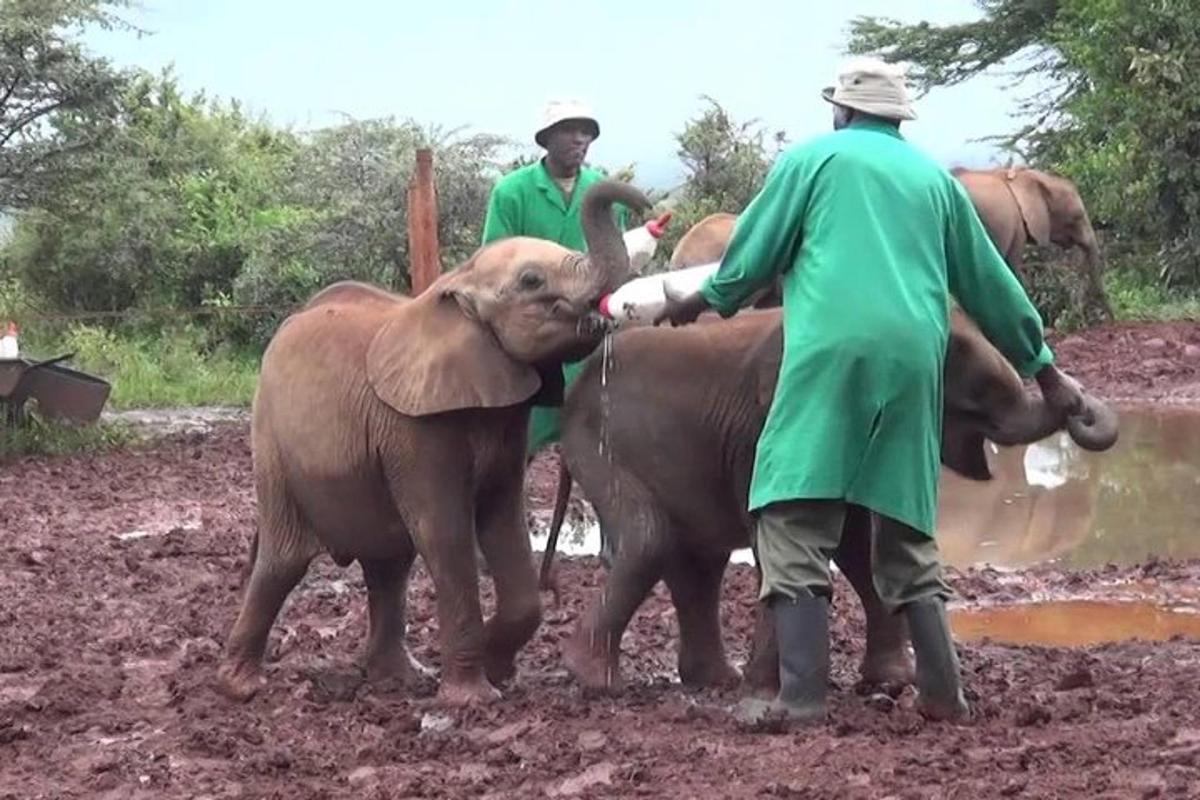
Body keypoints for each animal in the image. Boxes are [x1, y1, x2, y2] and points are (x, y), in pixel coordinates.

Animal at [216, 178, 648, 705]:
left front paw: (497, 668)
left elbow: (504, 521)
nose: (647, 202)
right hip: (273, 443)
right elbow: (446, 533)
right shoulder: (414, 426)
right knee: (284, 561)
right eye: (531, 281)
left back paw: (398, 678)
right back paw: (241, 688)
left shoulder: (505, 419)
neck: (458, 285)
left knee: (388, 565)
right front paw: (475, 699)